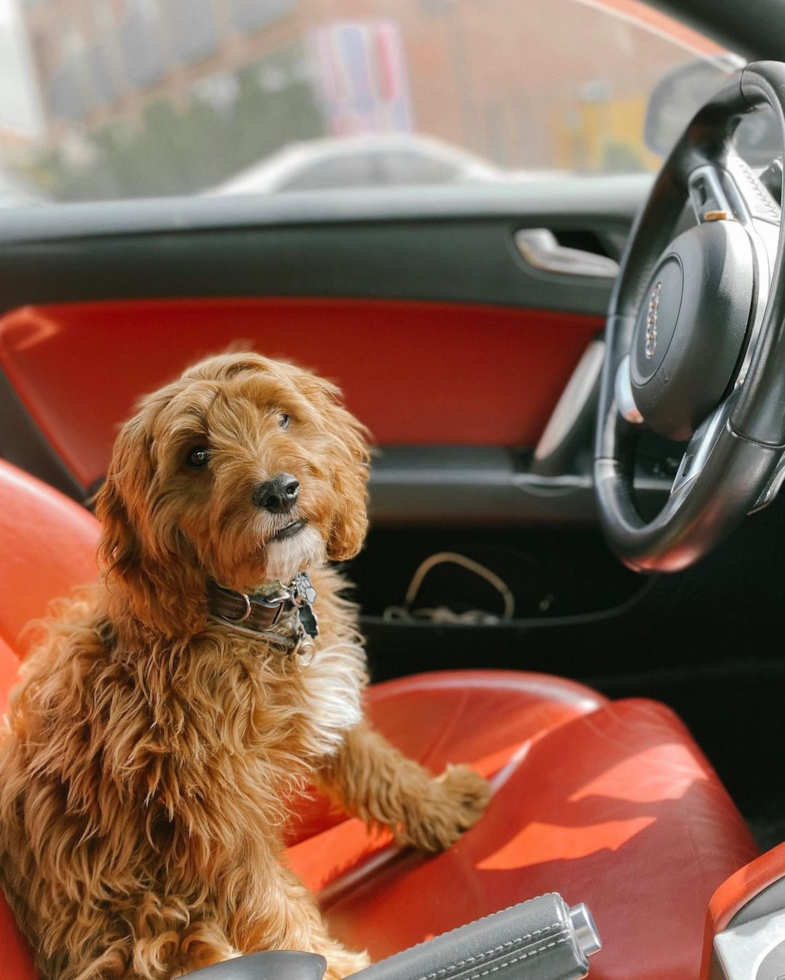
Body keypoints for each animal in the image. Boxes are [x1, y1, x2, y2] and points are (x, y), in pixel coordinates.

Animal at [0, 354, 486, 980]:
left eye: (282, 417)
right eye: (196, 455)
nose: (279, 490)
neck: (255, 617)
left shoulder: (325, 701)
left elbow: (378, 765)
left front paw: (443, 805)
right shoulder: (217, 815)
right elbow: (271, 906)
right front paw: (334, 966)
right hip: (156, 926)